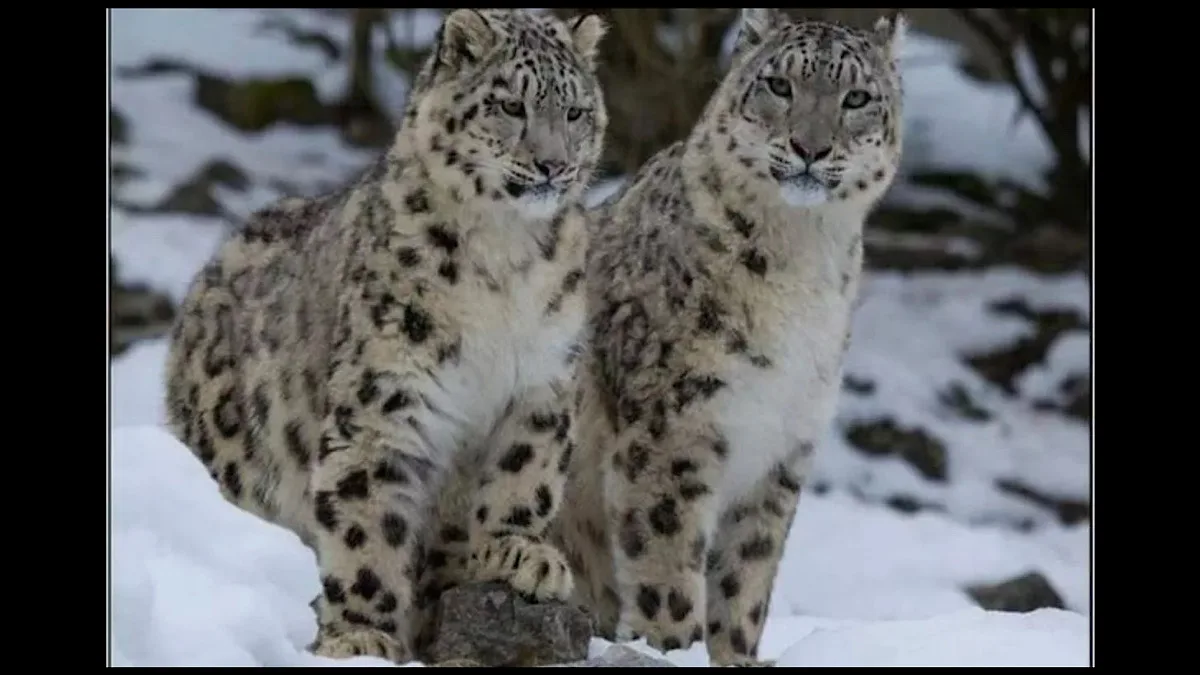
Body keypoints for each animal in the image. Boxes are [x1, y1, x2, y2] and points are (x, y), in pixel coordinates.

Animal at [163, 8, 608, 664]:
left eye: (575, 112)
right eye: (511, 105)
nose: (553, 164)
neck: (505, 260)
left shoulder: (541, 382)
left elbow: (523, 474)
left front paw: (519, 552)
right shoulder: (385, 398)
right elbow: (366, 519)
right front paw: (360, 634)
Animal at [549, 8, 906, 666]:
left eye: (857, 97)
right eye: (780, 85)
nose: (810, 147)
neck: (803, 262)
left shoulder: (784, 446)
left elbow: (748, 575)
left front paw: (737, 653)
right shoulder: (673, 424)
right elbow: (667, 557)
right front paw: (671, 646)